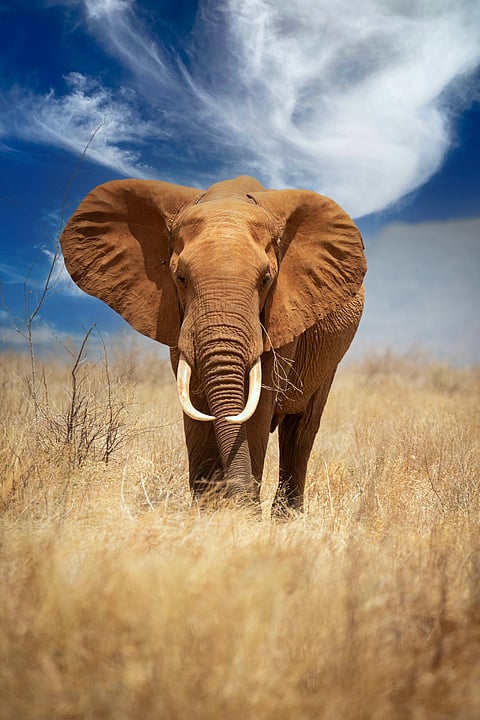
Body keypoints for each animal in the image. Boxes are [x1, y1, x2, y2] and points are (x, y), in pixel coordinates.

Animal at [60, 175, 366, 513]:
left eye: (266, 280)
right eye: (180, 278)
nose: (243, 505)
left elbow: (259, 400)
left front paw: (242, 515)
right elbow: (194, 398)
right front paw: (206, 513)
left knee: (300, 430)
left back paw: (287, 516)